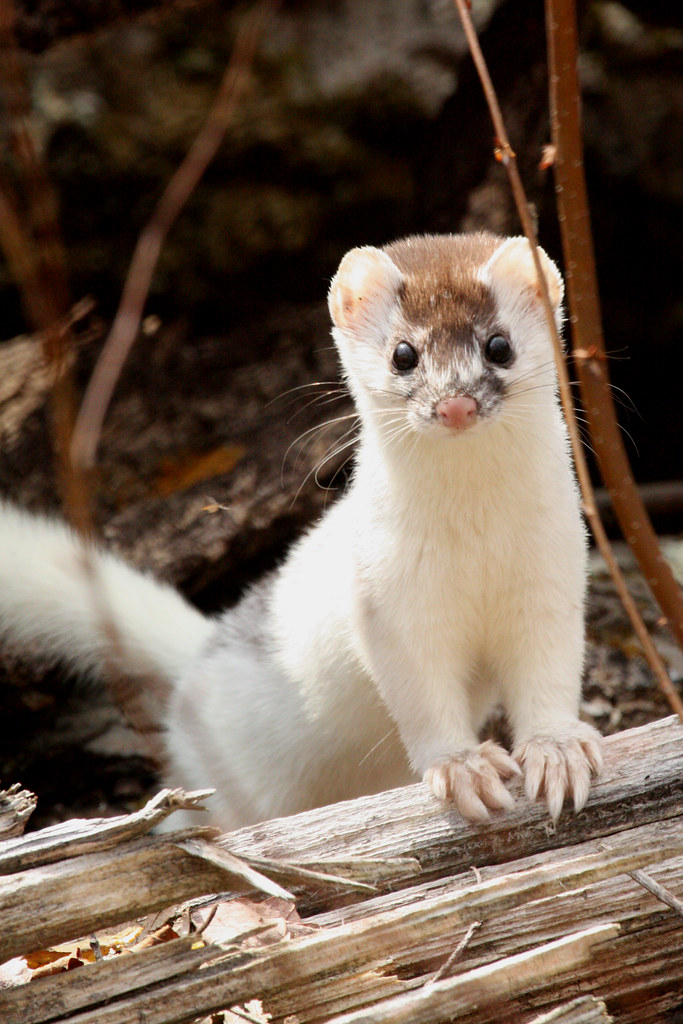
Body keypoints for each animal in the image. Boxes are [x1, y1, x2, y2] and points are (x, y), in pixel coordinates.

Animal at [0, 234, 602, 831]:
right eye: (403, 354)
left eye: (498, 345)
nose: (456, 403)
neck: (476, 536)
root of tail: (204, 652)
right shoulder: (383, 597)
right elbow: (422, 695)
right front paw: (463, 768)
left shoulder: (555, 570)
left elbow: (550, 671)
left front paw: (558, 752)